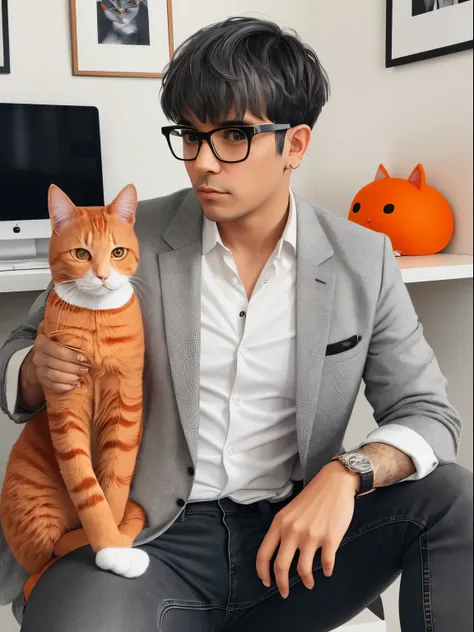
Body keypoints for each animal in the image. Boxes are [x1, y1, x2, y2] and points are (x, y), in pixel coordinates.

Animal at [0, 181, 148, 592]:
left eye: (117, 252)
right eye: (82, 253)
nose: (101, 275)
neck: (95, 319)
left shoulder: (125, 405)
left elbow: (114, 485)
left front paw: (117, 536)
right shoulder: (66, 408)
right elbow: (89, 491)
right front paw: (110, 546)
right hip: (36, 508)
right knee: (41, 565)